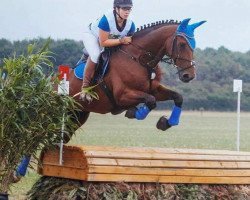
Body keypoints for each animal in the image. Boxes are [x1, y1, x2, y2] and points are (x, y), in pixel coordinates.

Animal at [67, 18, 206, 141]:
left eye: (193, 45)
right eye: (182, 45)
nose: (189, 75)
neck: (140, 59)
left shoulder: (154, 90)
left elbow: (177, 97)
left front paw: (166, 123)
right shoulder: (122, 95)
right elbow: (151, 101)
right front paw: (132, 112)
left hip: (79, 115)